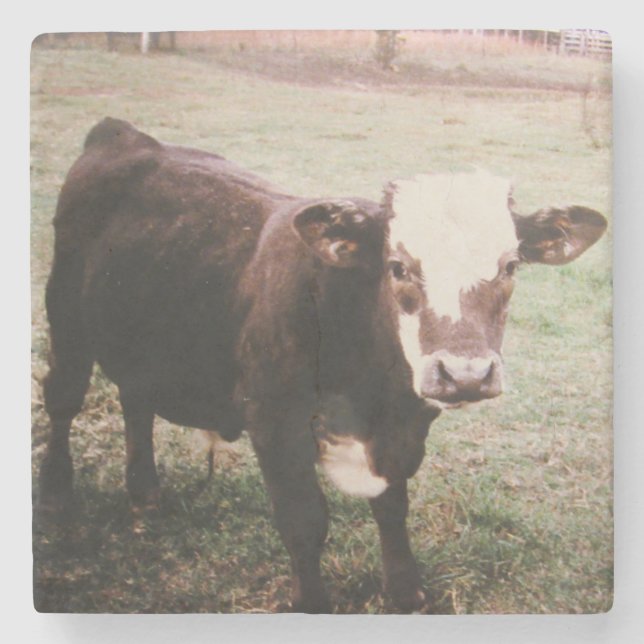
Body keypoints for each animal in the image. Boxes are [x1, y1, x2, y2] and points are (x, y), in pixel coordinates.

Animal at [37, 118, 606, 613]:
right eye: (397, 267)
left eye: (510, 266)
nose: (465, 374)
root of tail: (125, 134)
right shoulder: (273, 420)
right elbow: (304, 520)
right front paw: (312, 603)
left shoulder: (403, 427)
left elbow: (392, 506)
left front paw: (406, 593)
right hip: (65, 312)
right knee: (63, 398)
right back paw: (57, 494)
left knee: (134, 397)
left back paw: (145, 493)